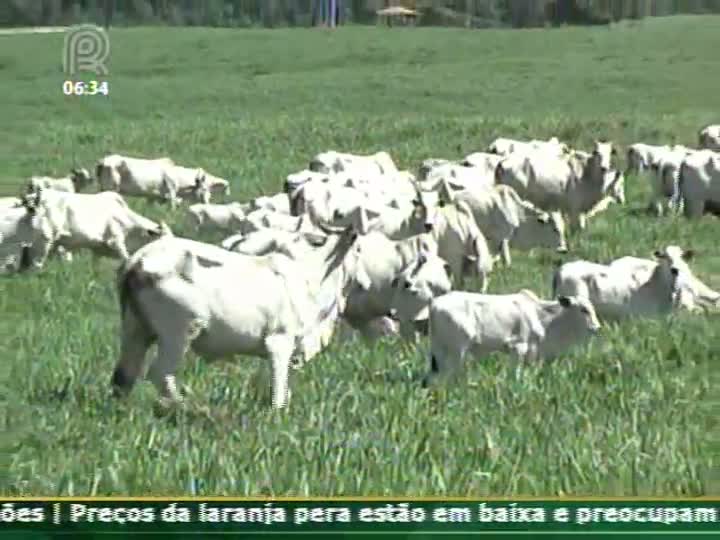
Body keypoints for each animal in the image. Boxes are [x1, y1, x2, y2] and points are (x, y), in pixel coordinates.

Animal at [111, 210, 372, 410]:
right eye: (359, 250)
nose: (366, 283)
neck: (310, 275)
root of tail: (138, 260)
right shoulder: (280, 342)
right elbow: (279, 389)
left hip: (135, 329)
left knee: (124, 375)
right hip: (180, 332)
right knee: (160, 373)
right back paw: (185, 407)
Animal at [422, 292, 600, 388]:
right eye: (584, 310)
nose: (597, 327)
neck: (540, 315)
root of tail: (434, 303)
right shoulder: (518, 348)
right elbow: (516, 375)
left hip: (438, 352)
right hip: (456, 351)